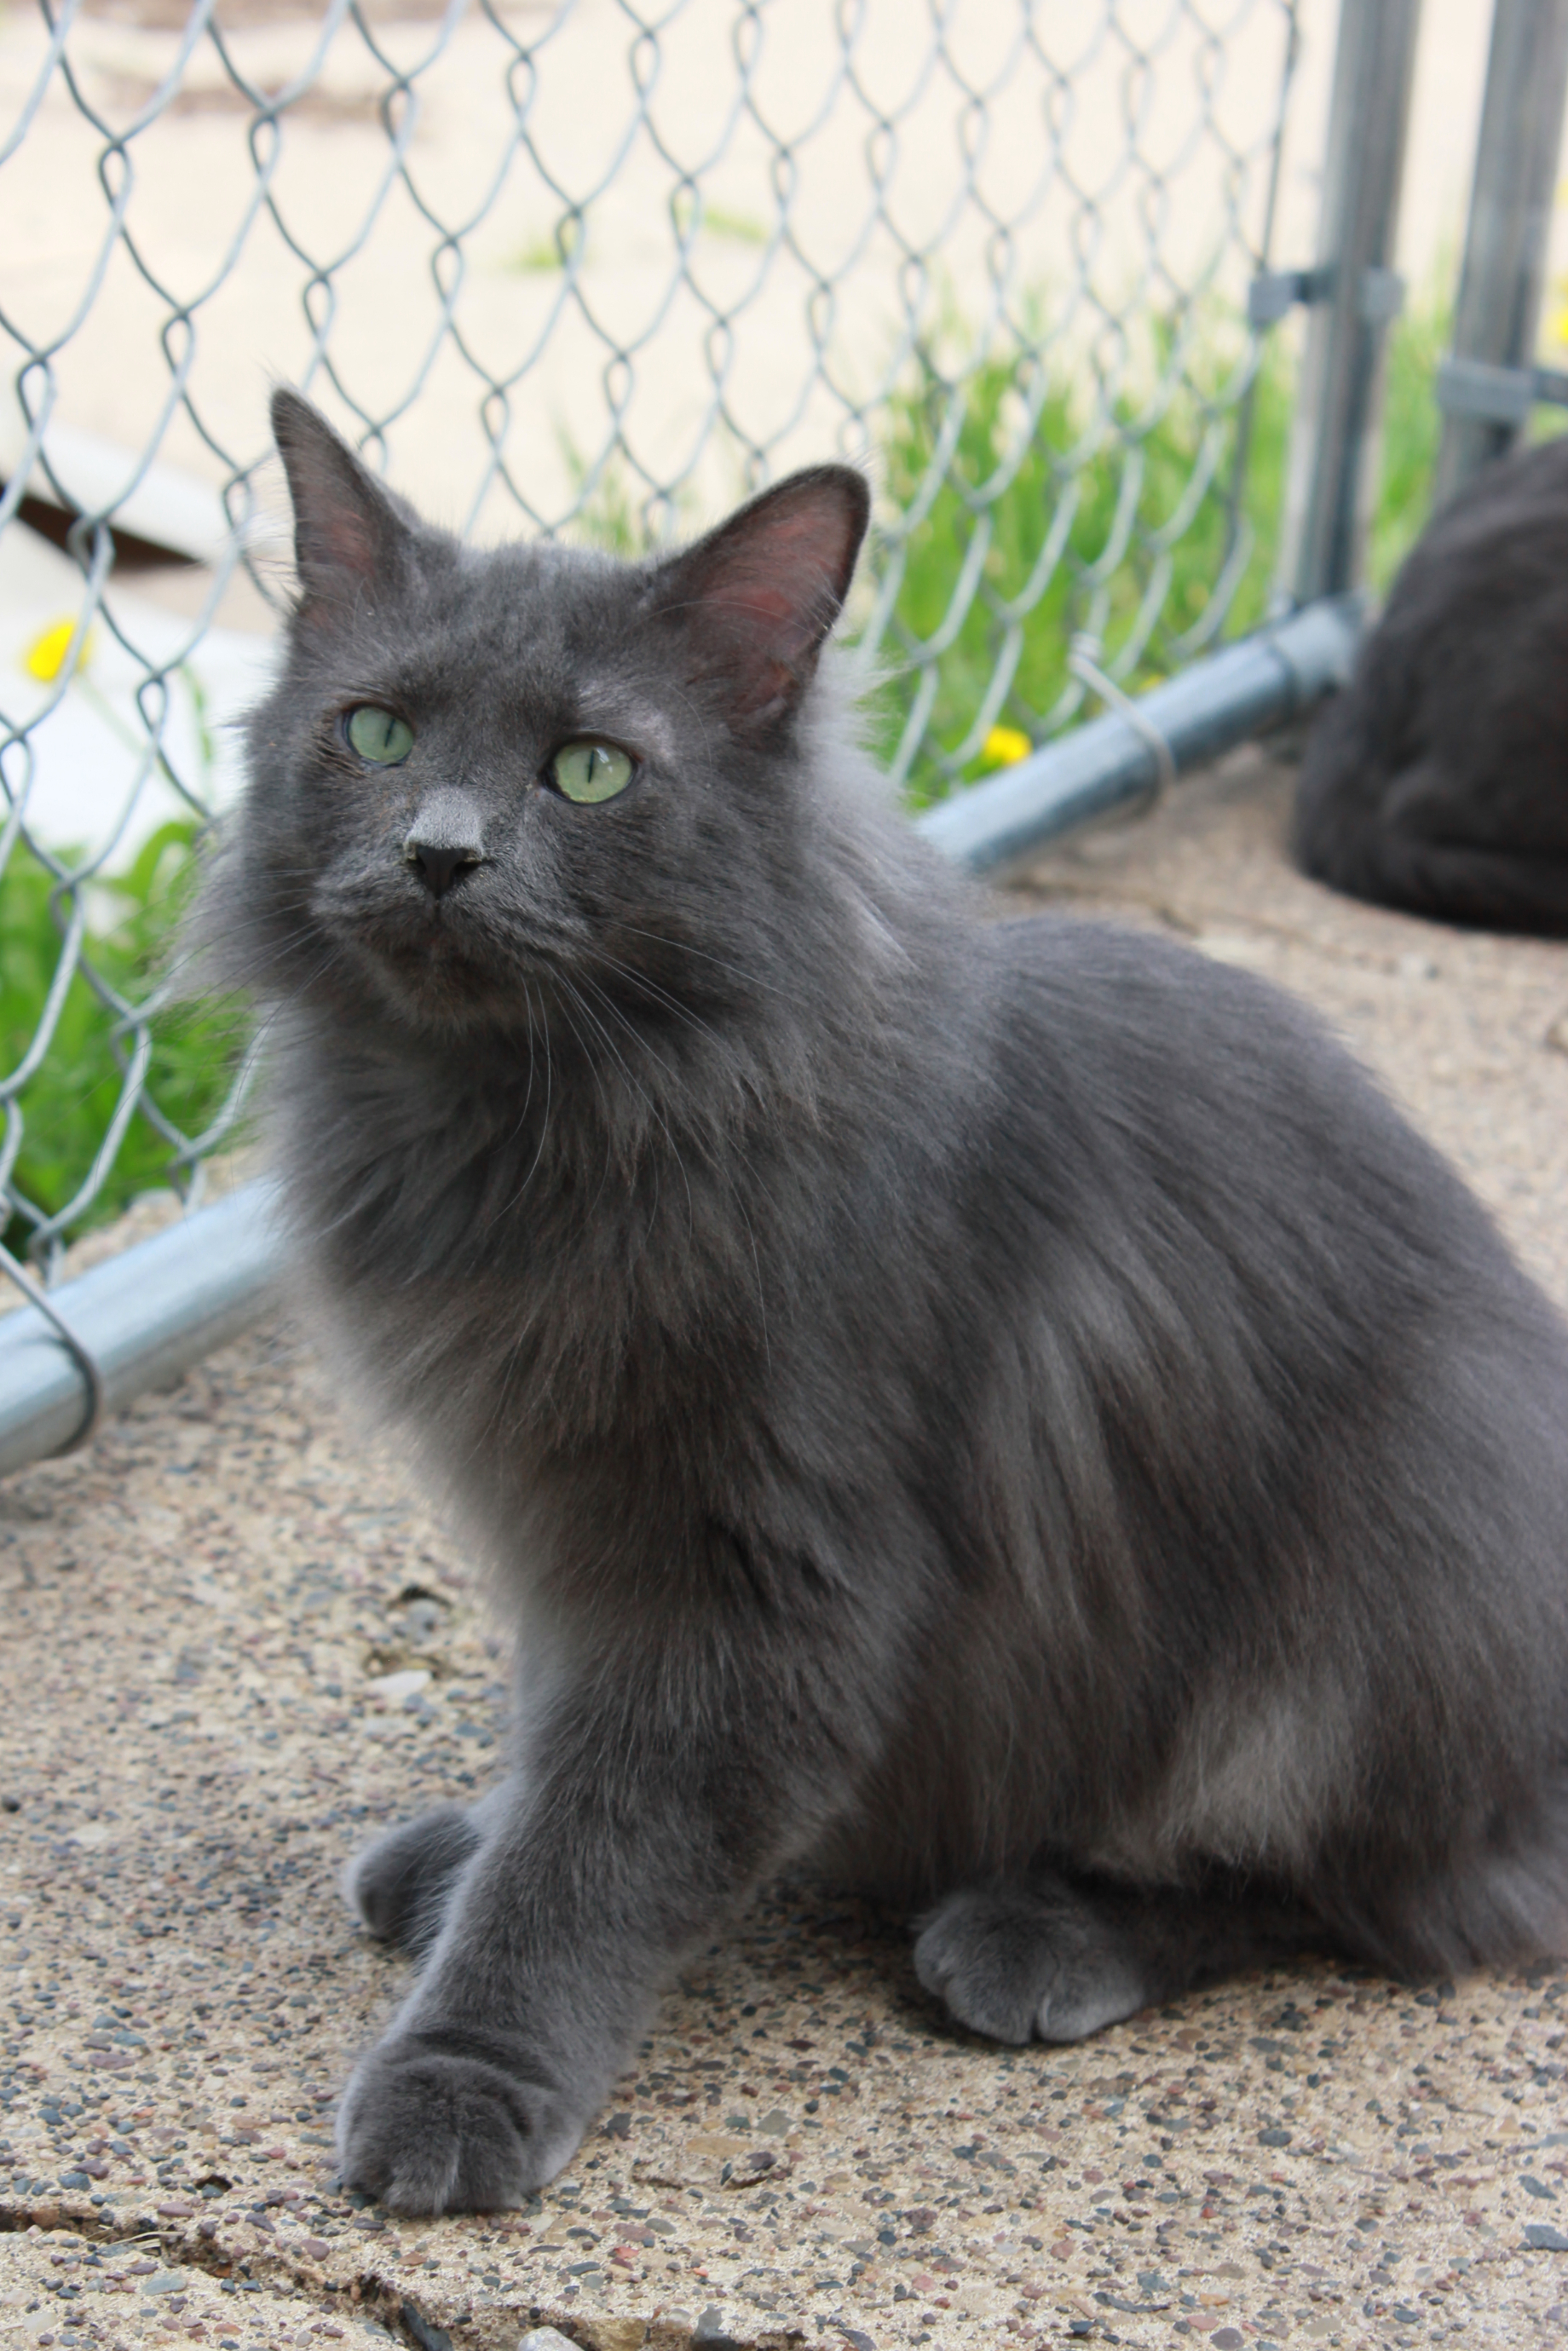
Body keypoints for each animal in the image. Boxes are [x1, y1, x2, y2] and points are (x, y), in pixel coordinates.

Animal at [196, 395, 1568, 2210]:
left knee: (1369, 1888)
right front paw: (467, 1847)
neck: (531, 1117)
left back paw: (1036, 1927)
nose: (440, 853)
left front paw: (456, 2079)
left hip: (1372, 1588)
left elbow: (591, 1852)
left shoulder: (760, 1573)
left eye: (589, 768)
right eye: (375, 731)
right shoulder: (582, 1540)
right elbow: (557, 1776)